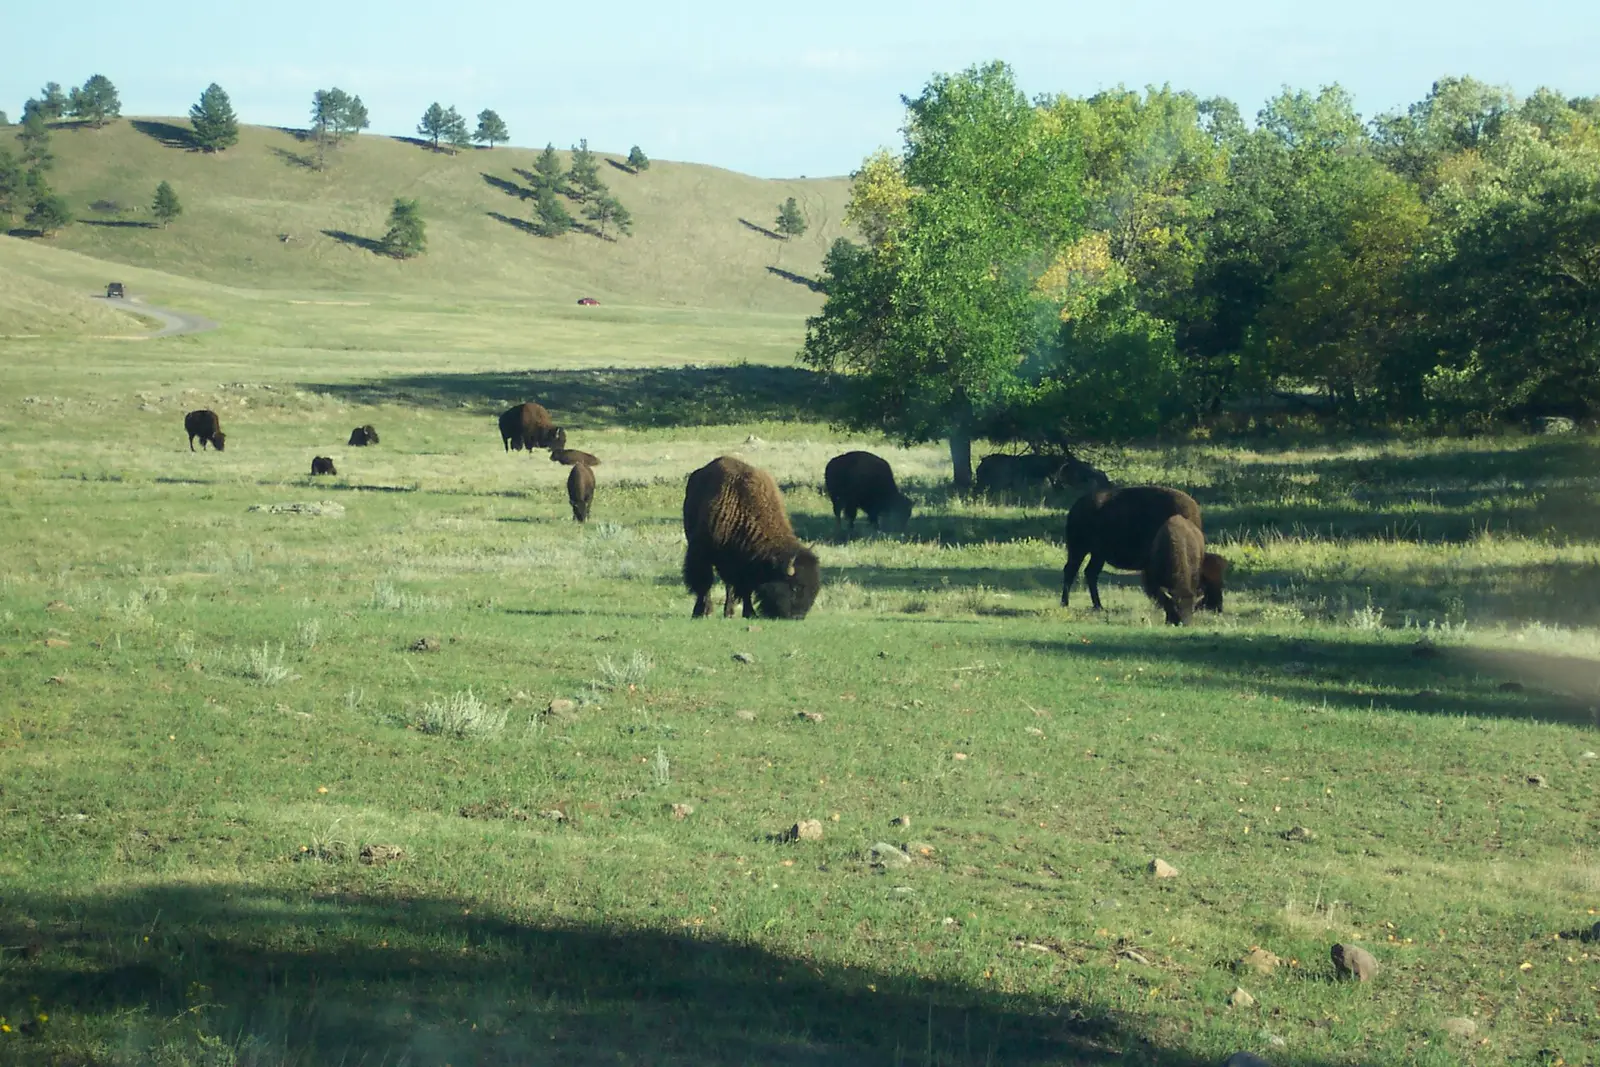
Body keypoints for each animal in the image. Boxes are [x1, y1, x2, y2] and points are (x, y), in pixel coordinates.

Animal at [682, 456, 820, 619]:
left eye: (814, 589)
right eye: (795, 588)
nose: (798, 616)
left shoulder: (742, 564)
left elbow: (743, 588)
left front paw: (748, 613)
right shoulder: (701, 552)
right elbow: (704, 583)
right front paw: (702, 612)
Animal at [1061, 486, 1225, 612]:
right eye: (1207, 583)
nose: (1218, 607)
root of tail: (1076, 507)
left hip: (1098, 555)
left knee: (1090, 573)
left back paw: (1098, 606)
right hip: (1078, 549)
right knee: (1070, 570)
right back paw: (1065, 603)